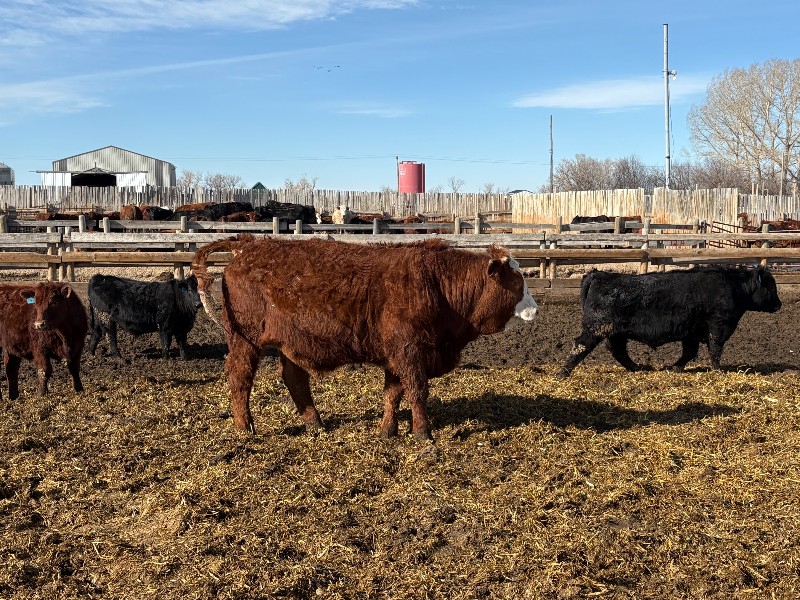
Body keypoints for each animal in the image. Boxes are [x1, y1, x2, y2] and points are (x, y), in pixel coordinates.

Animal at [192, 235, 539, 439]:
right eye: (516, 282)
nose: (535, 309)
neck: (437, 283)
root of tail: (249, 245)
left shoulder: (397, 355)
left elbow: (393, 394)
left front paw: (388, 431)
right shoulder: (410, 352)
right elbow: (417, 392)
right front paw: (423, 434)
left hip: (290, 343)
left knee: (295, 379)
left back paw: (315, 423)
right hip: (245, 340)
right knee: (240, 378)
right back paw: (244, 428)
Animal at [558, 267, 782, 377]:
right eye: (771, 286)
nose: (779, 304)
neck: (734, 286)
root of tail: (598, 275)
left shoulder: (691, 332)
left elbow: (689, 353)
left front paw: (675, 368)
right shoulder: (718, 326)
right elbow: (715, 349)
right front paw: (717, 370)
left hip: (616, 333)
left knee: (619, 351)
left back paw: (637, 368)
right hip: (596, 328)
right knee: (580, 346)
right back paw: (563, 373)